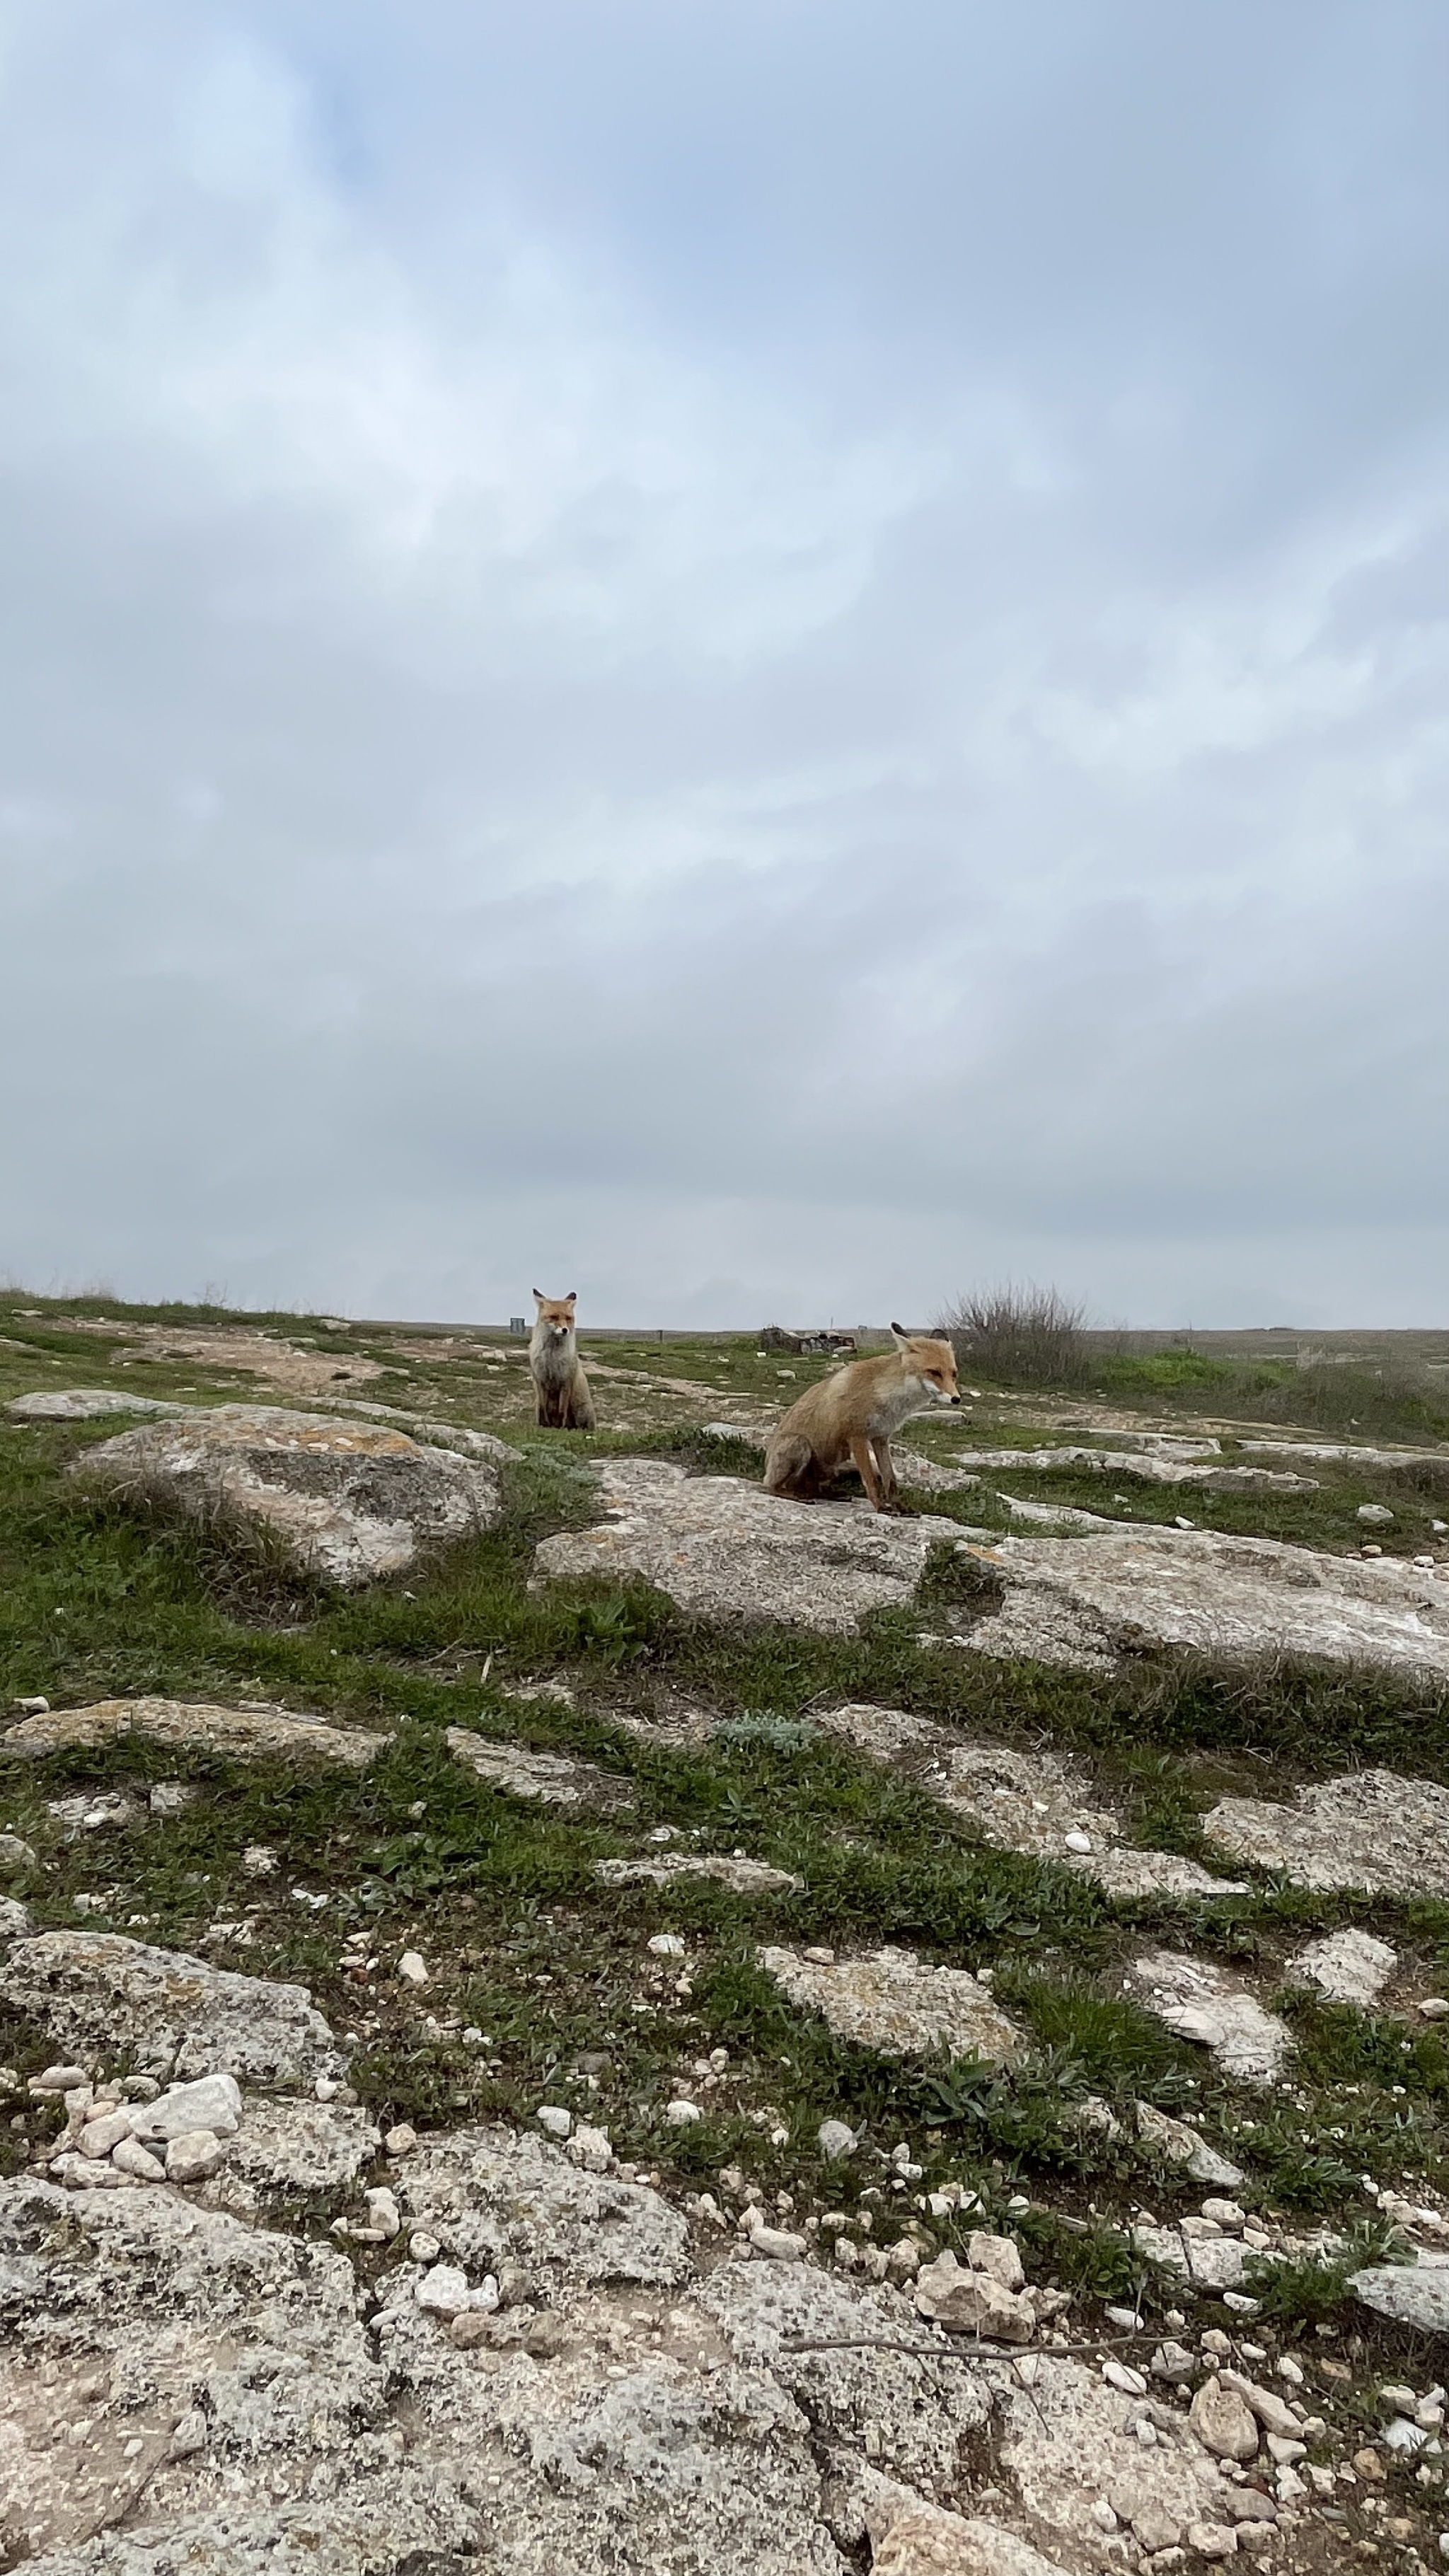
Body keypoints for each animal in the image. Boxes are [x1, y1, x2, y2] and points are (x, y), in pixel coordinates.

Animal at [523, 1288, 593, 1432]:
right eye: (554, 1317)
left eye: (568, 1318)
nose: (565, 1330)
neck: (552, 1357)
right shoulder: (540, 1380)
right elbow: (543, 1408)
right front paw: (545, 1425)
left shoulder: (565, 1381)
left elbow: (561, 1410)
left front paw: (559, 1427)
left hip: (580, 1410)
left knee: (579, 1425)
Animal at [758, 1329, 959, 1504]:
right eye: (934, 1372)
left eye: (954, 1374)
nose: (956, 1399)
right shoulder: (857, 1435)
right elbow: (871, 1480)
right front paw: (882, 1507)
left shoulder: (881, 1437)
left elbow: (890, 1479)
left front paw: (900, 1508)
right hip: (801, 1445)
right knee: (773, 1487)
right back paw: (794, 1495)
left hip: (835, 1464)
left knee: (815, 1487)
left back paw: (828, 1494)